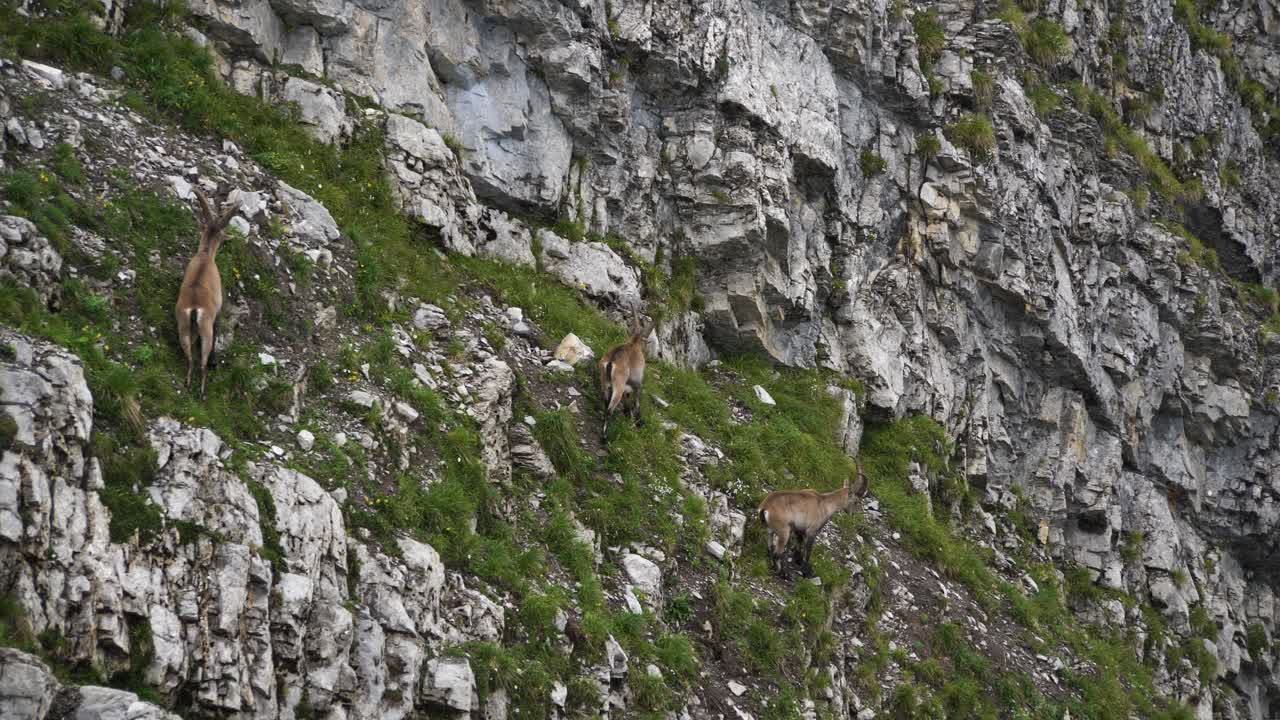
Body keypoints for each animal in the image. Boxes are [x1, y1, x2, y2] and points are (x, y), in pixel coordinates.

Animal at [175, 188, 238, 398]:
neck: (205, 256)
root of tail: (194, 309)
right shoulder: (217, 310)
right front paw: (214, 361)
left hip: (184, 327)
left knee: (190, 359)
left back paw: (187, 383)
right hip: (205, 330)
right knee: (201, 362)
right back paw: (202, 391)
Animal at [598, 307, 653, 437]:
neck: (634, 344)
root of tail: (611, 361)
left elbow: (627, 398)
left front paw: (627, 413)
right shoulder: (637, 382)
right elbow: (637, 402)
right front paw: (638, 421)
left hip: (605, 381)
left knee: (606, 402)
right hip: (618, 385)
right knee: (609, 409)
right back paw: (605, 436)